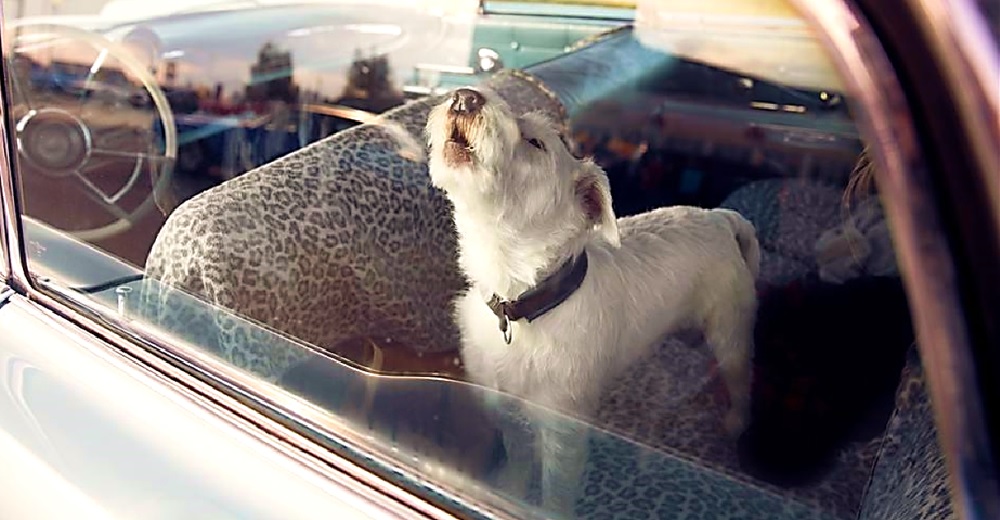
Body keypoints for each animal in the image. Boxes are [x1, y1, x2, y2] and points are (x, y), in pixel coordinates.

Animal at [424, 87, 756, 512]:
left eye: (536, 143)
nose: (465, 97)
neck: (522, 302)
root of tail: (720, 217)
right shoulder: (507, 408)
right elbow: (517, 457)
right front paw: (509, 489)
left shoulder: (564, 432)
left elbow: (556, 491)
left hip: (730, 332)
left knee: (740, 380)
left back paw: (736, 423)